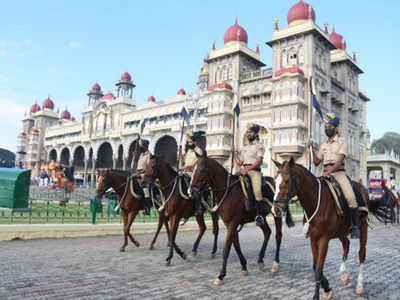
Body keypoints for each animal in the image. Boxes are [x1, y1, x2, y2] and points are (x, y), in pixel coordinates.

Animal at [191, 155, 288, 286]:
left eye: (201, 170)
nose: (191, 191)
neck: (228, 192)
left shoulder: (232, 224)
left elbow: (226, 249)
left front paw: (221, 275)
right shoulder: (230, 224)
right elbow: (236, 245)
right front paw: (244, 266)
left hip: (277, 215)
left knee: (278, 236)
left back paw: (275, 264)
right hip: (261, 218)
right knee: (267, 232)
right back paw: (260, 259)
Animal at [272, 158, 390, 298]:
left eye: (287, 181)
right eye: (274, 181)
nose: (276, 210)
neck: (315, 202)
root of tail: (363, 189)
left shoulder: (324, 239)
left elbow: (318, 268)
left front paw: (317, 295)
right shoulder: (313, 238)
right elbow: (315, 266)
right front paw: (327, 288)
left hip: (363, 228)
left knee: (361, 254)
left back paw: (359, 285)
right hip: (341, 232)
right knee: (346, 245)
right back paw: (344, 275)